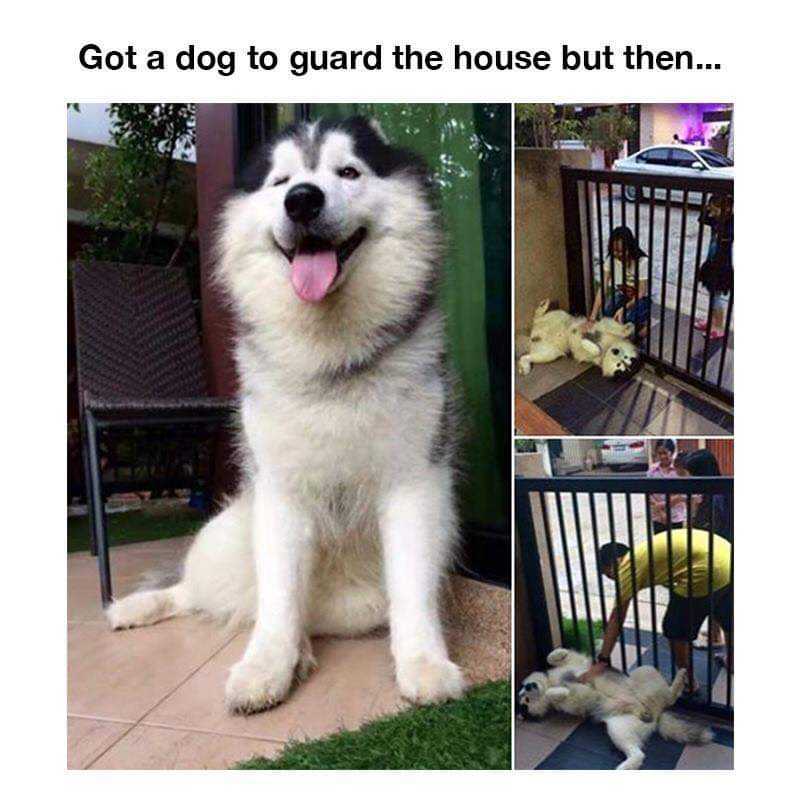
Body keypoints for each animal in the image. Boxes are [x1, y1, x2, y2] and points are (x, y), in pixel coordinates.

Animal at [103, 117, 466, 712]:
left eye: (349, 171)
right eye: (280, 181)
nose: (302, 200)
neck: (331, 359)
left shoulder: (414, 486)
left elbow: (413, 590)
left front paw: (424, 664)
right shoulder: (279, 494)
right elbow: (278, 599)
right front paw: (266, 665)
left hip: (362, 602)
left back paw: (305, 646)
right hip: (223, 535)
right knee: (201, 590)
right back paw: (137, 608)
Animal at [520, 648, 712, 768]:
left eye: (524, 690)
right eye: (525, 701)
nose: (529, 687)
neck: (551, 681)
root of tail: (654, 712)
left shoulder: (579, 664)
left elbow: (552, 657)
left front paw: (558, 654)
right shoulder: (570, 703)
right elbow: (555, 695)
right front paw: (554, 692)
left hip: (643, 671)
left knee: (669, 696)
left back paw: (680, 677)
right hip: (619, 728)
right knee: (639, 753)